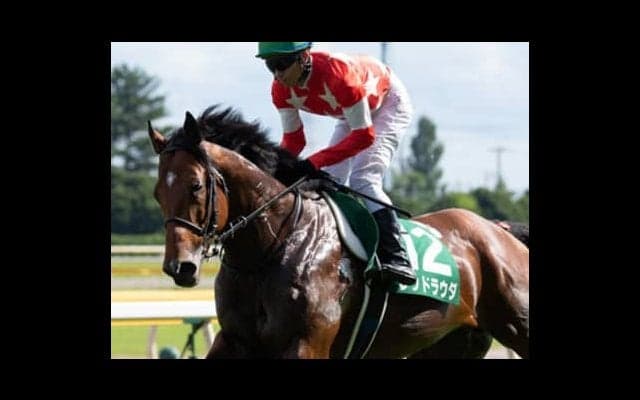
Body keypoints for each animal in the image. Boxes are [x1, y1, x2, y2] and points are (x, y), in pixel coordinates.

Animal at [147, 106, 529, 359]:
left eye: (196, 186)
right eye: (157, 193)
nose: (179, 267)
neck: (271, 248)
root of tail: (498, 230)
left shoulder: (307, 343)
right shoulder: (234, 339)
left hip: (517, 323)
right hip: (452, 340)